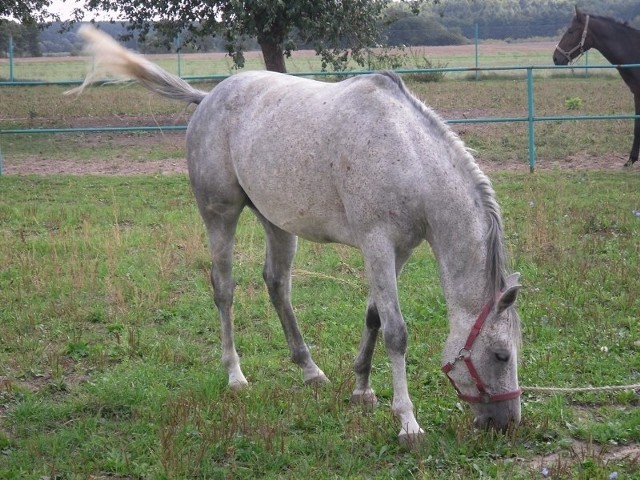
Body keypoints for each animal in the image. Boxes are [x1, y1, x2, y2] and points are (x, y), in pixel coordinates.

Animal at [552, 4, 640, 167]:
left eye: (571, 31)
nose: (555, 58)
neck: (635, 50)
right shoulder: (637, 93)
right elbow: (637, 126)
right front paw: (631, 160)